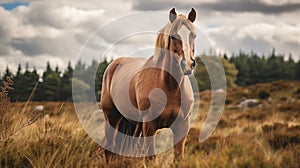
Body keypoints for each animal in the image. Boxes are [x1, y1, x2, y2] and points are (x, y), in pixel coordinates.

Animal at [101, 7, 197, 161]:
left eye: (194, 36)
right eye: (173, 36)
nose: (188, 64)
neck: (170, 87)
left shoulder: (182, 126)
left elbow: (178, 157)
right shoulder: (149, 126)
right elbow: (150, 158)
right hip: (112, 118)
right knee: (110, 148)